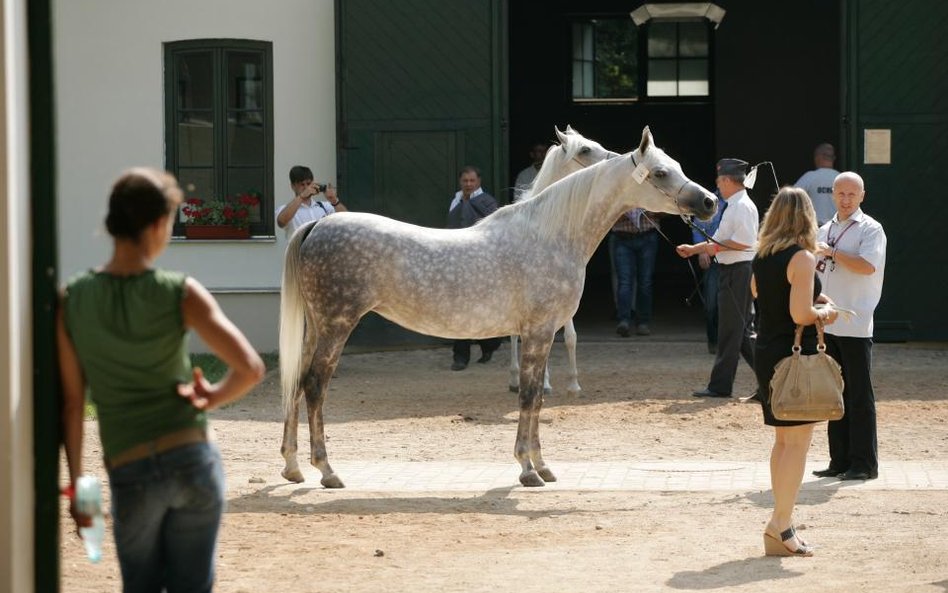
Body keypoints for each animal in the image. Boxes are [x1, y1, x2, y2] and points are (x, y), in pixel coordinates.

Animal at [508, 125, 620, 396]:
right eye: (585, 149)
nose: (616, 160)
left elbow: (571, 337)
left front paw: (574, 383)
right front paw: (545, 383)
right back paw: (515, 379)